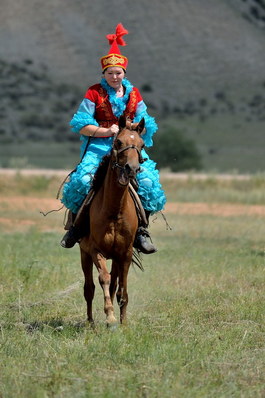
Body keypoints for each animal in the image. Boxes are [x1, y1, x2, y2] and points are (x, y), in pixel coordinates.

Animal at [78, 115, 145, 326]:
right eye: (118, 142)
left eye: (141, 144)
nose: (131, 169)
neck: (114, 211)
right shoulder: (95, 250)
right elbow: (104, 279)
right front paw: (110, 316)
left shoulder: (124, 252)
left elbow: (122, 287)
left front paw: (123, 322)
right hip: (84, 253)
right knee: (89, 288)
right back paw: (90, 322)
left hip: (115, 257)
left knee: (114, 284)